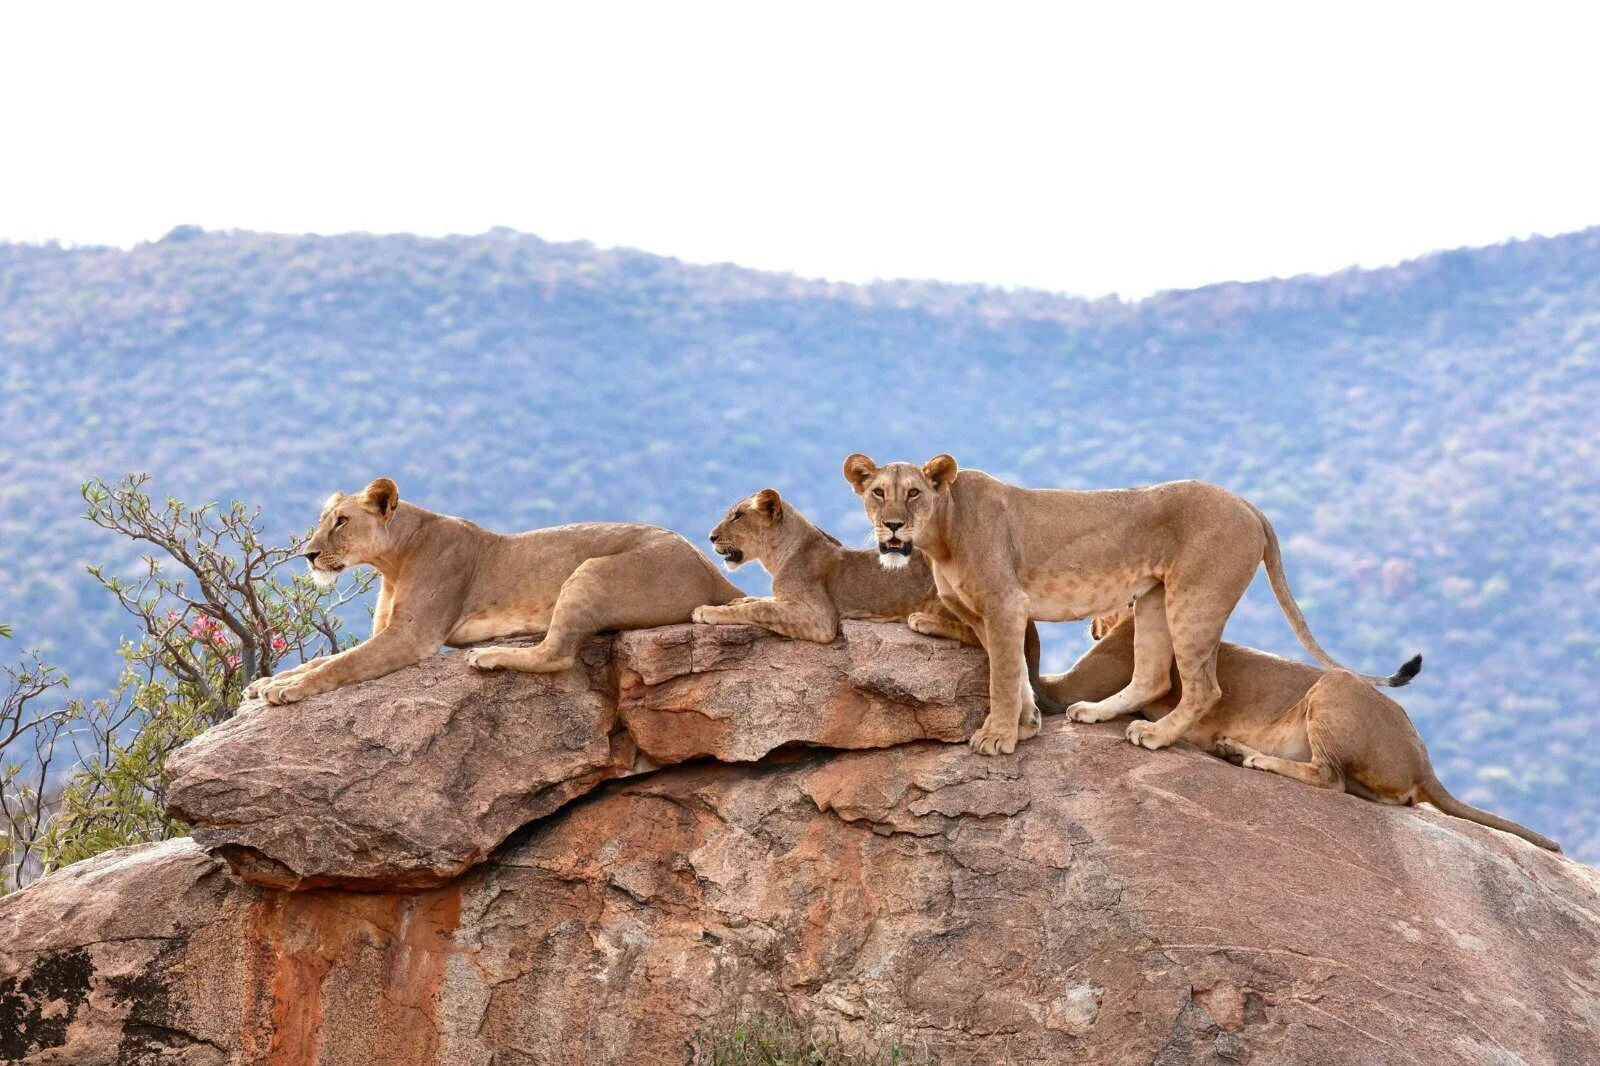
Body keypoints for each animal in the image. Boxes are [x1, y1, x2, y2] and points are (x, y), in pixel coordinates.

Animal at [244, 478, 743, 704]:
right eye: (322, 520)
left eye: (341, 521)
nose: (308, 554)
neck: (393, 560)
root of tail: (711, 569)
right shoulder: (388, 631)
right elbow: (326, 659)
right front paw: (270, 681)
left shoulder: (413, 637)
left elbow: (339, 665)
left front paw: (289, 689)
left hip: (590, 572)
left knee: (556, 656)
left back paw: (487, 657)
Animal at [689, 488, 1059, 716]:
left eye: (737, 516)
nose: (710, 536)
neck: (779, 554)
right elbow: (758, 600)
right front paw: (735, 601)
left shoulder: (820, 619)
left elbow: (762, 608)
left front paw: (707, 611)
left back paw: (922, 621)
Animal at [843, 453, 1419, 757]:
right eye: (877, 493)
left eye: (914, 493)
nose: (892, 526)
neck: (942, 535)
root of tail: (1248, 503)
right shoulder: (988, 614)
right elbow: (1015, 673)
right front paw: (1028, 723)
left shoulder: (1006, 604)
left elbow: (1001, 676)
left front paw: (998, 737)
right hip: (1156, 599)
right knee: (1155, 677)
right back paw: (1097, 713)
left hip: (1195, 596)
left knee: (1204, 687)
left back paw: (1156, 735)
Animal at [1045, 612, 1559, 851]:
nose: (1089, 625)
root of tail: (1425, 759)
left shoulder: (1083, 680)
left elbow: (1064, 693)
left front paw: (1091, 713)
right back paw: (1233, 748)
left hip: (1334, 687)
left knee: (1329, 779)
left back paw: (1251, 757)